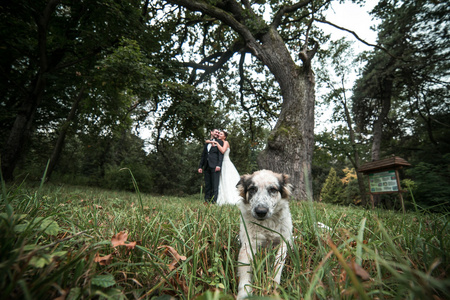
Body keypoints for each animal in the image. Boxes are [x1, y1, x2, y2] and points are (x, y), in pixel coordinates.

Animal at [234, 170, 294, 298]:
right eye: (252, 189)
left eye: (273, 189)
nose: (261, 212)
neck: (267, 225)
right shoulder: (248, 244)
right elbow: (245, 269)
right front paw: (244, 294)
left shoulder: (283, 241)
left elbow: (278, 263)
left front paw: (274, 285)